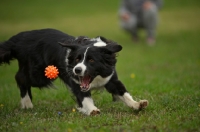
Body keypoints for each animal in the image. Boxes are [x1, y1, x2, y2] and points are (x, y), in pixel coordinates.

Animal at [0, 28, 148, 115]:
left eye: (91, 60)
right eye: (77, 59)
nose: (77, 70)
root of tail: (19, 38)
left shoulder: (111, 78)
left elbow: (123, 93)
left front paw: (137, 104)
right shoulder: (77, 83)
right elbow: (84, 97)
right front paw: (92, 110)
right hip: (40, 75)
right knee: (20, 77)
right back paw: (27, 103)